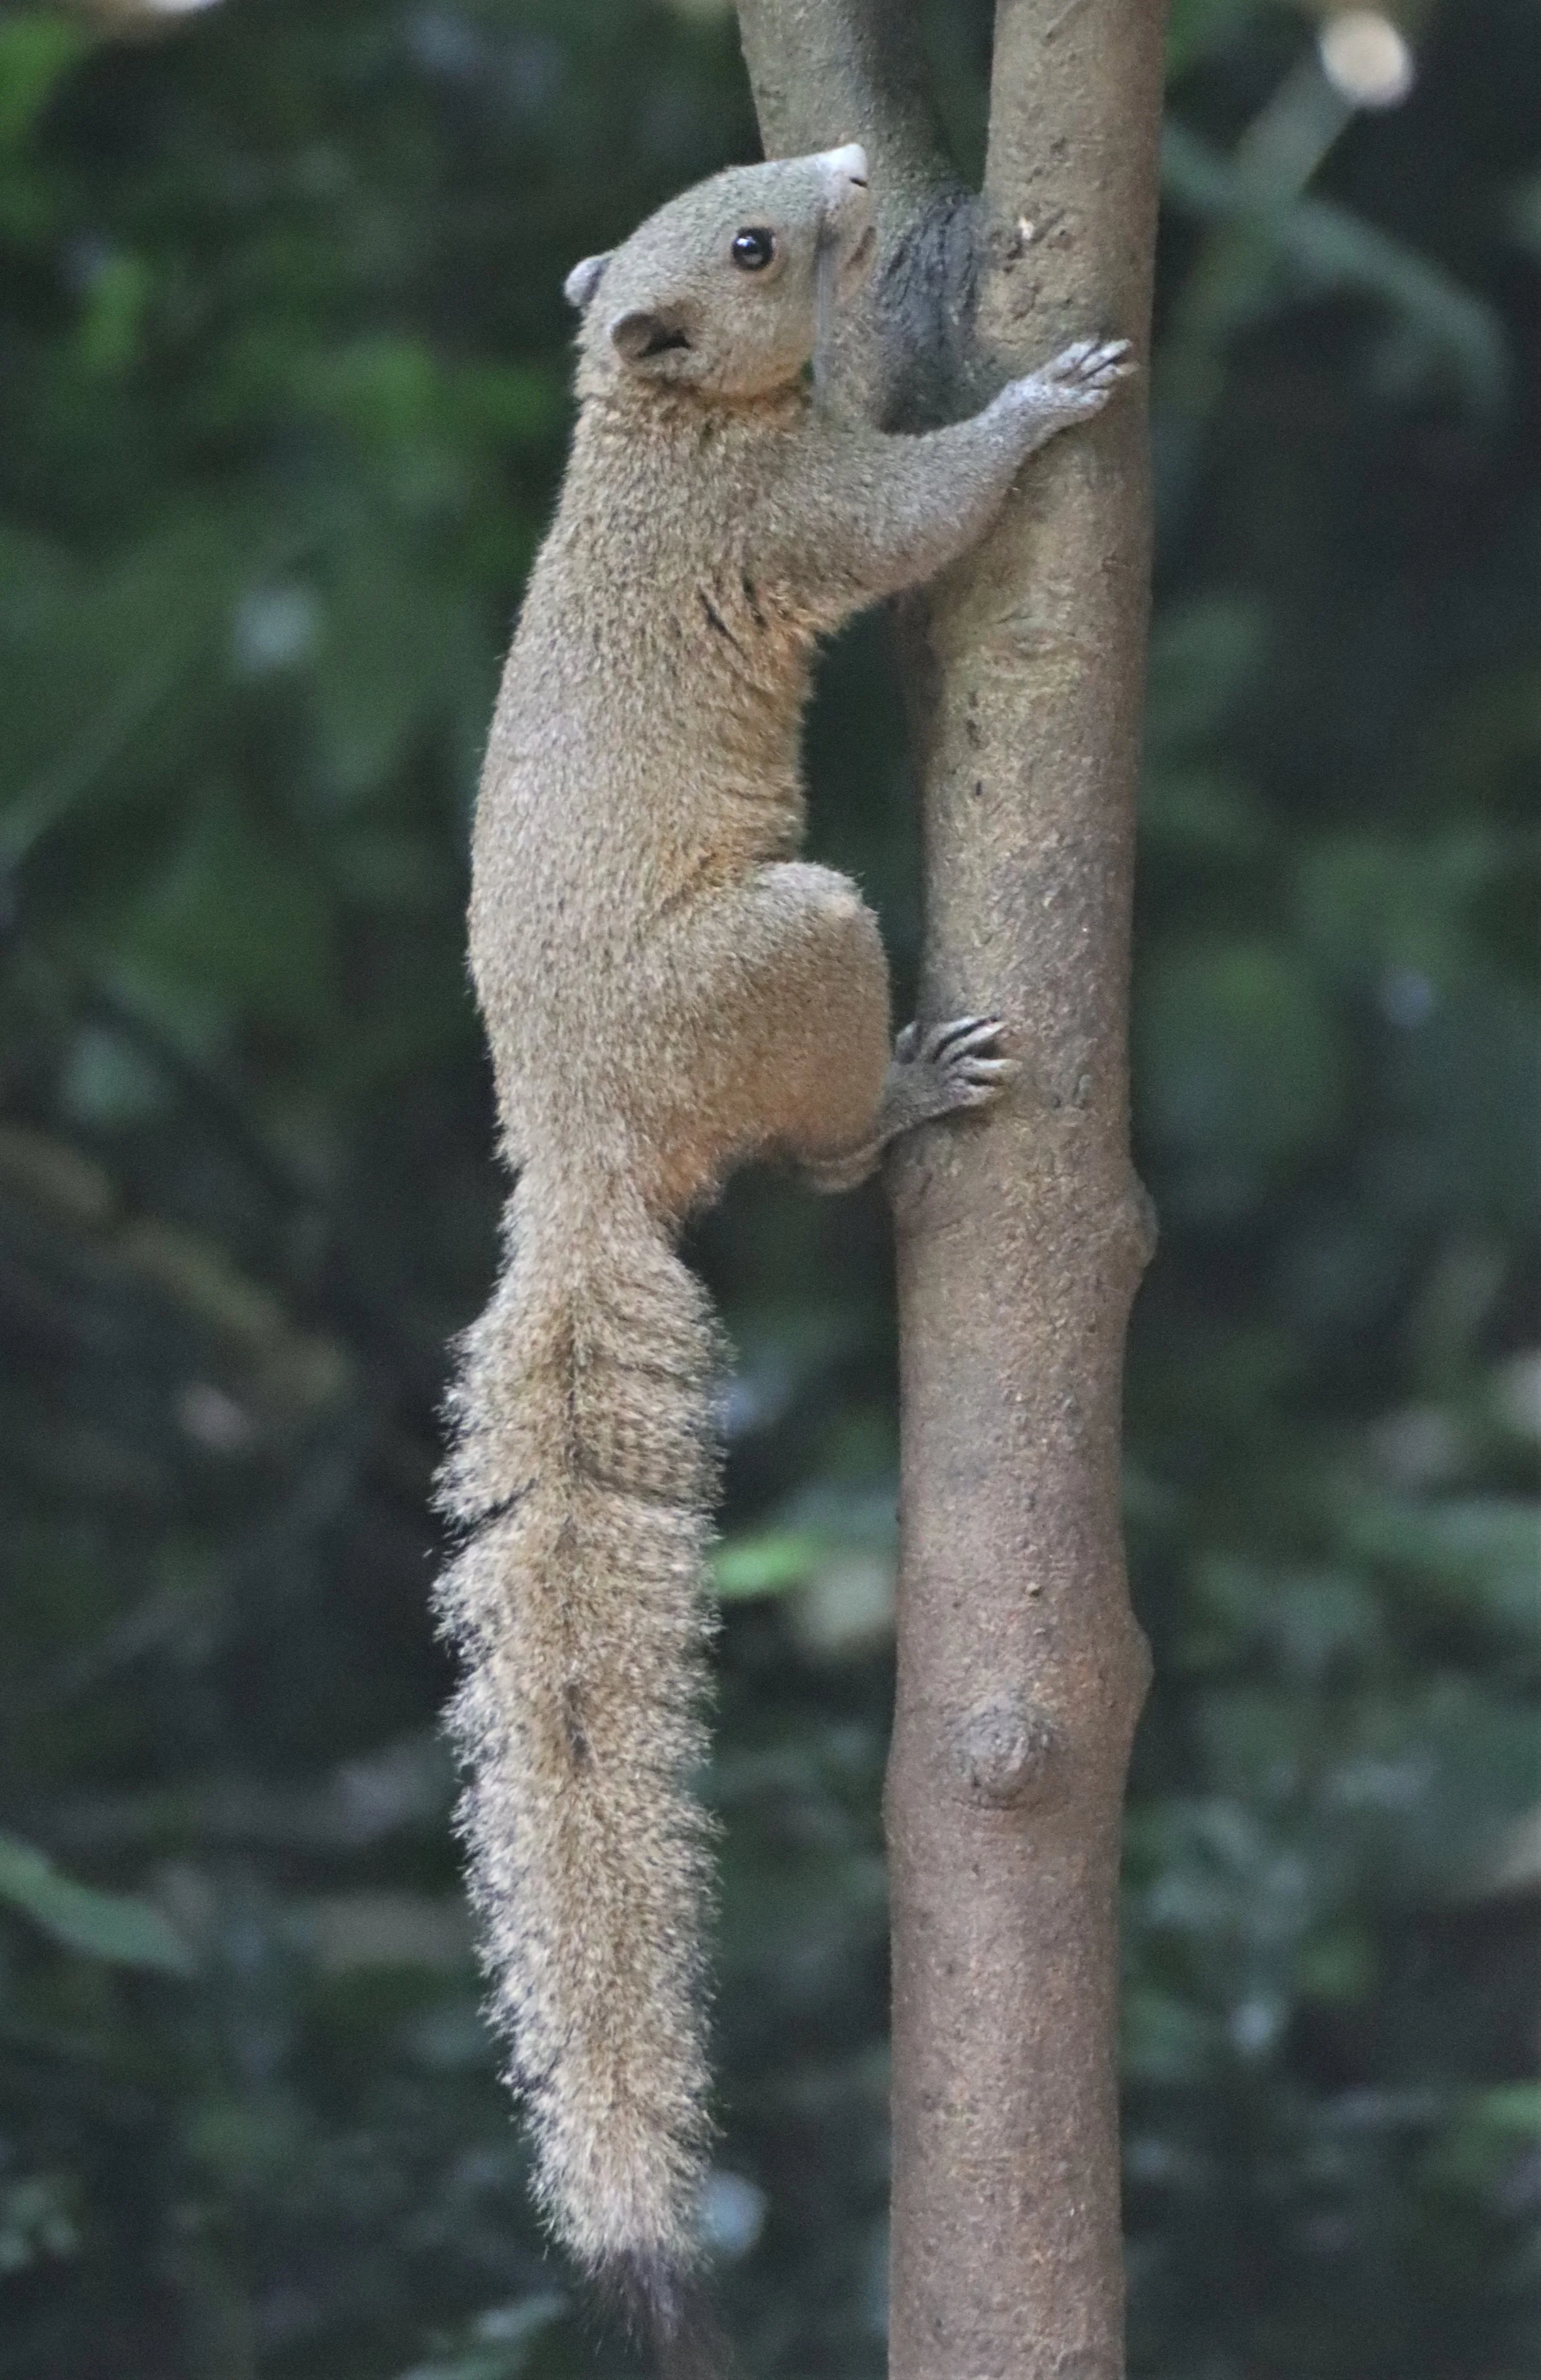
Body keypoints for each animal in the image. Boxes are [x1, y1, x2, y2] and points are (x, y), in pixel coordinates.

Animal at [434, 143, 1133, 2373]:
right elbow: (928, 509)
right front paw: (1049, 397)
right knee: (821, 1152)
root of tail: (575, 1162)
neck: (657, 427)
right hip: (799, 948)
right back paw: (907, 1095)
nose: (840, 176)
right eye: (747, 245)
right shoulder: (810, 514)